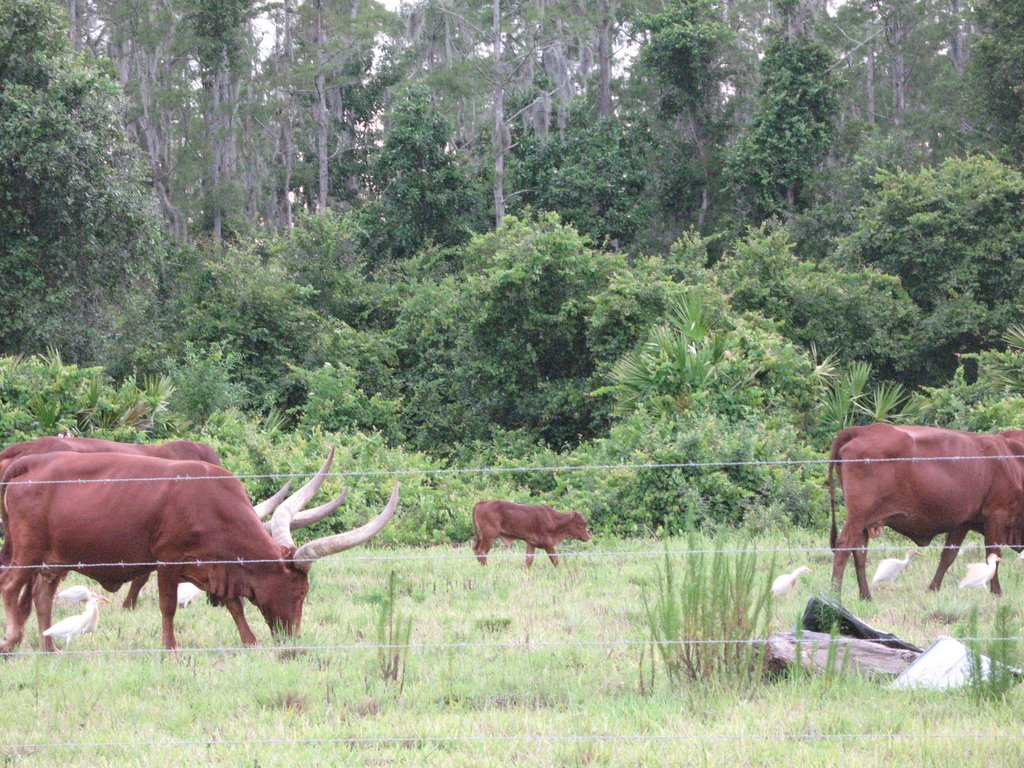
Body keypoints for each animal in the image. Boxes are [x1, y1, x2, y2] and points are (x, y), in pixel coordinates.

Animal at [0, 454, 395, 651]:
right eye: (300, 593)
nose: (291, 639)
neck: (211, 502)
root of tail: (25, 467)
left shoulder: (212, 568)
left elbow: (235, 605)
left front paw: (249, 641)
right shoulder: (168, 560)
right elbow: (167, 606)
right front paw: (170, 648)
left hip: (56, 557)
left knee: (41, 594)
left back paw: (49, 647)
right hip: (27, 549)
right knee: (10, 585)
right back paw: (12, 640)